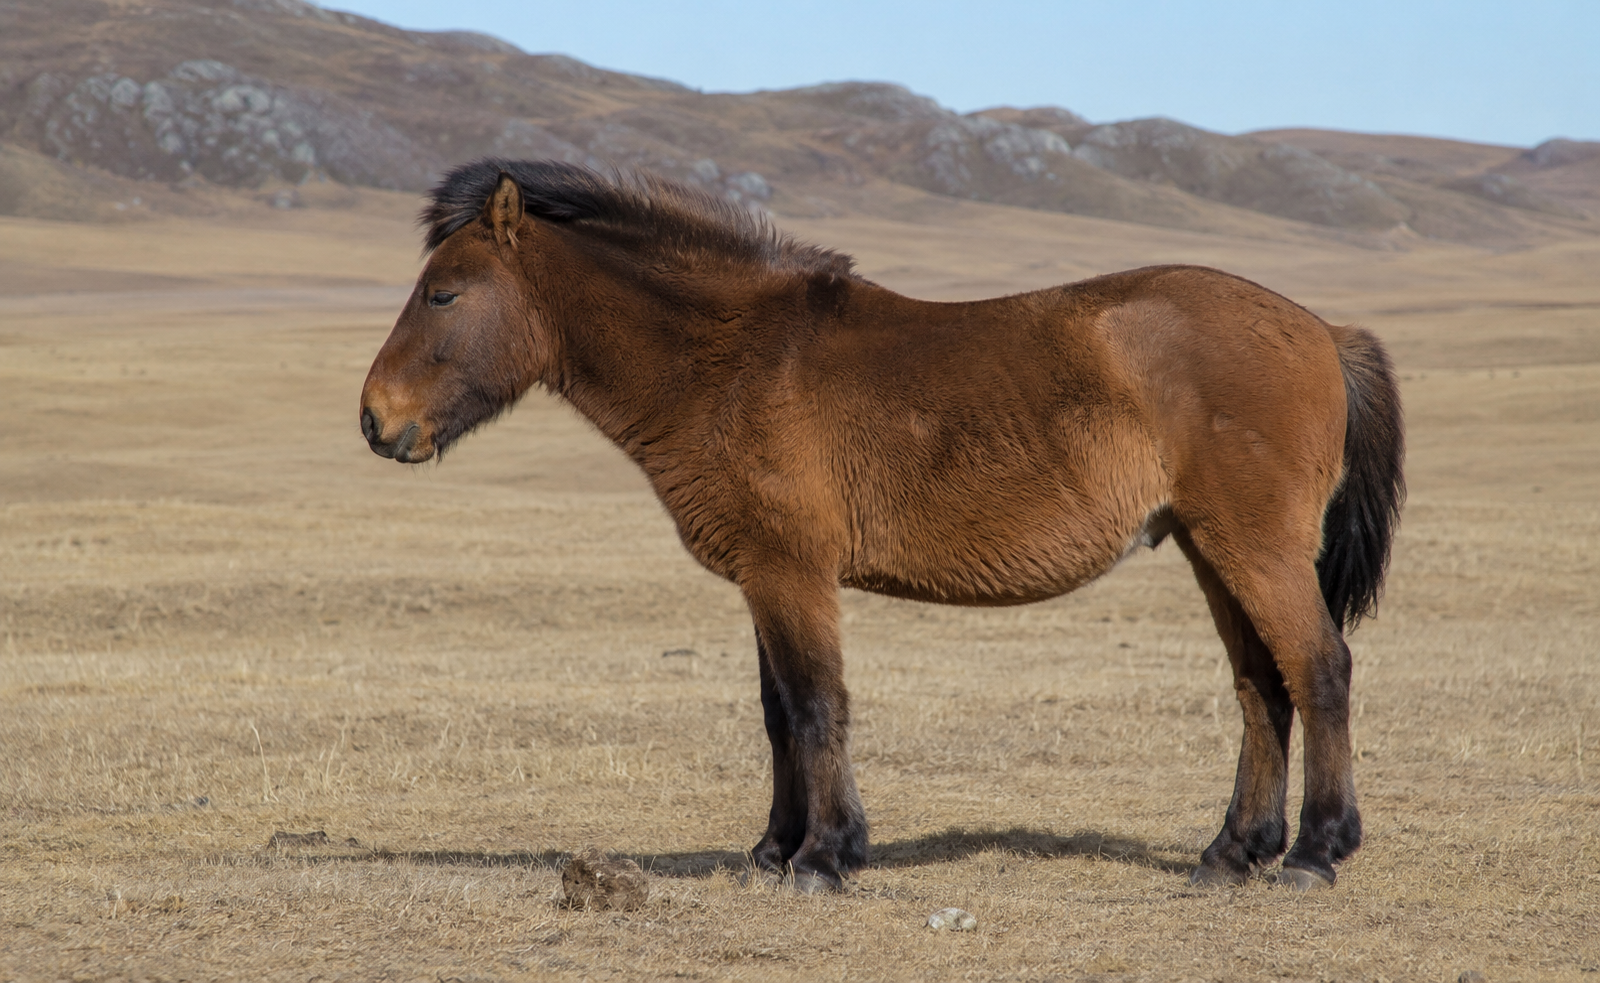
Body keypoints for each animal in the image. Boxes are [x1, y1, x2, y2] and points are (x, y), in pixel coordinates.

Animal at [360, 159, 1404, 893]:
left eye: (443, 293)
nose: (375, 421)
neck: (731, 361)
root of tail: (1323, 331)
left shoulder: (792, 571)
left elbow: (817, 703)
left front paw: (825, 855)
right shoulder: (763, 577)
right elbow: (778, 711)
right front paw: (773, 848)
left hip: (1253, 548)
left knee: (1319, 669)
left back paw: (1314, 851)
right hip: (1209, 548)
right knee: (1261, 688)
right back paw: (1232, 852)